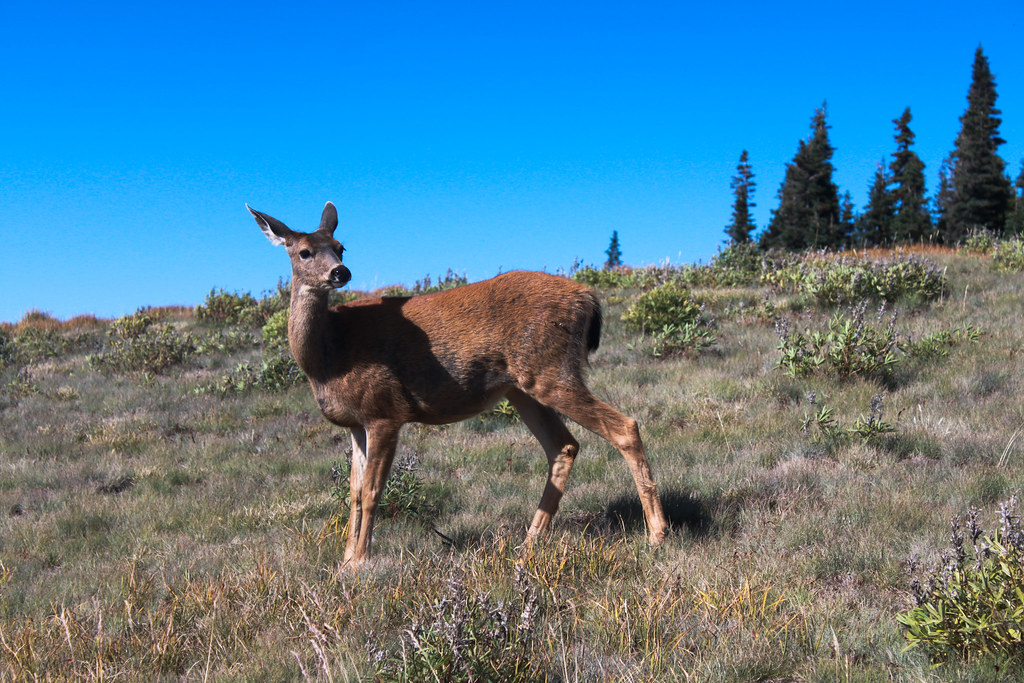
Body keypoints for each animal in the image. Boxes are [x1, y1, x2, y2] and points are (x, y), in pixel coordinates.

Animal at [247, 201, 669, 569]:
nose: (341, 272)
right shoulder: (355, 422)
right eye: (304, 252)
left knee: (624, 426)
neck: (329, 357)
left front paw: (361, 563)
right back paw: (528, 544)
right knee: (563, 445)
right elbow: (351, 493)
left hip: (550, 369)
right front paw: (346, 560)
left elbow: (370, 492)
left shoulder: (385, 409)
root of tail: (589, 297)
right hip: (522, 387)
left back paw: (657, 535)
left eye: (340, 247)